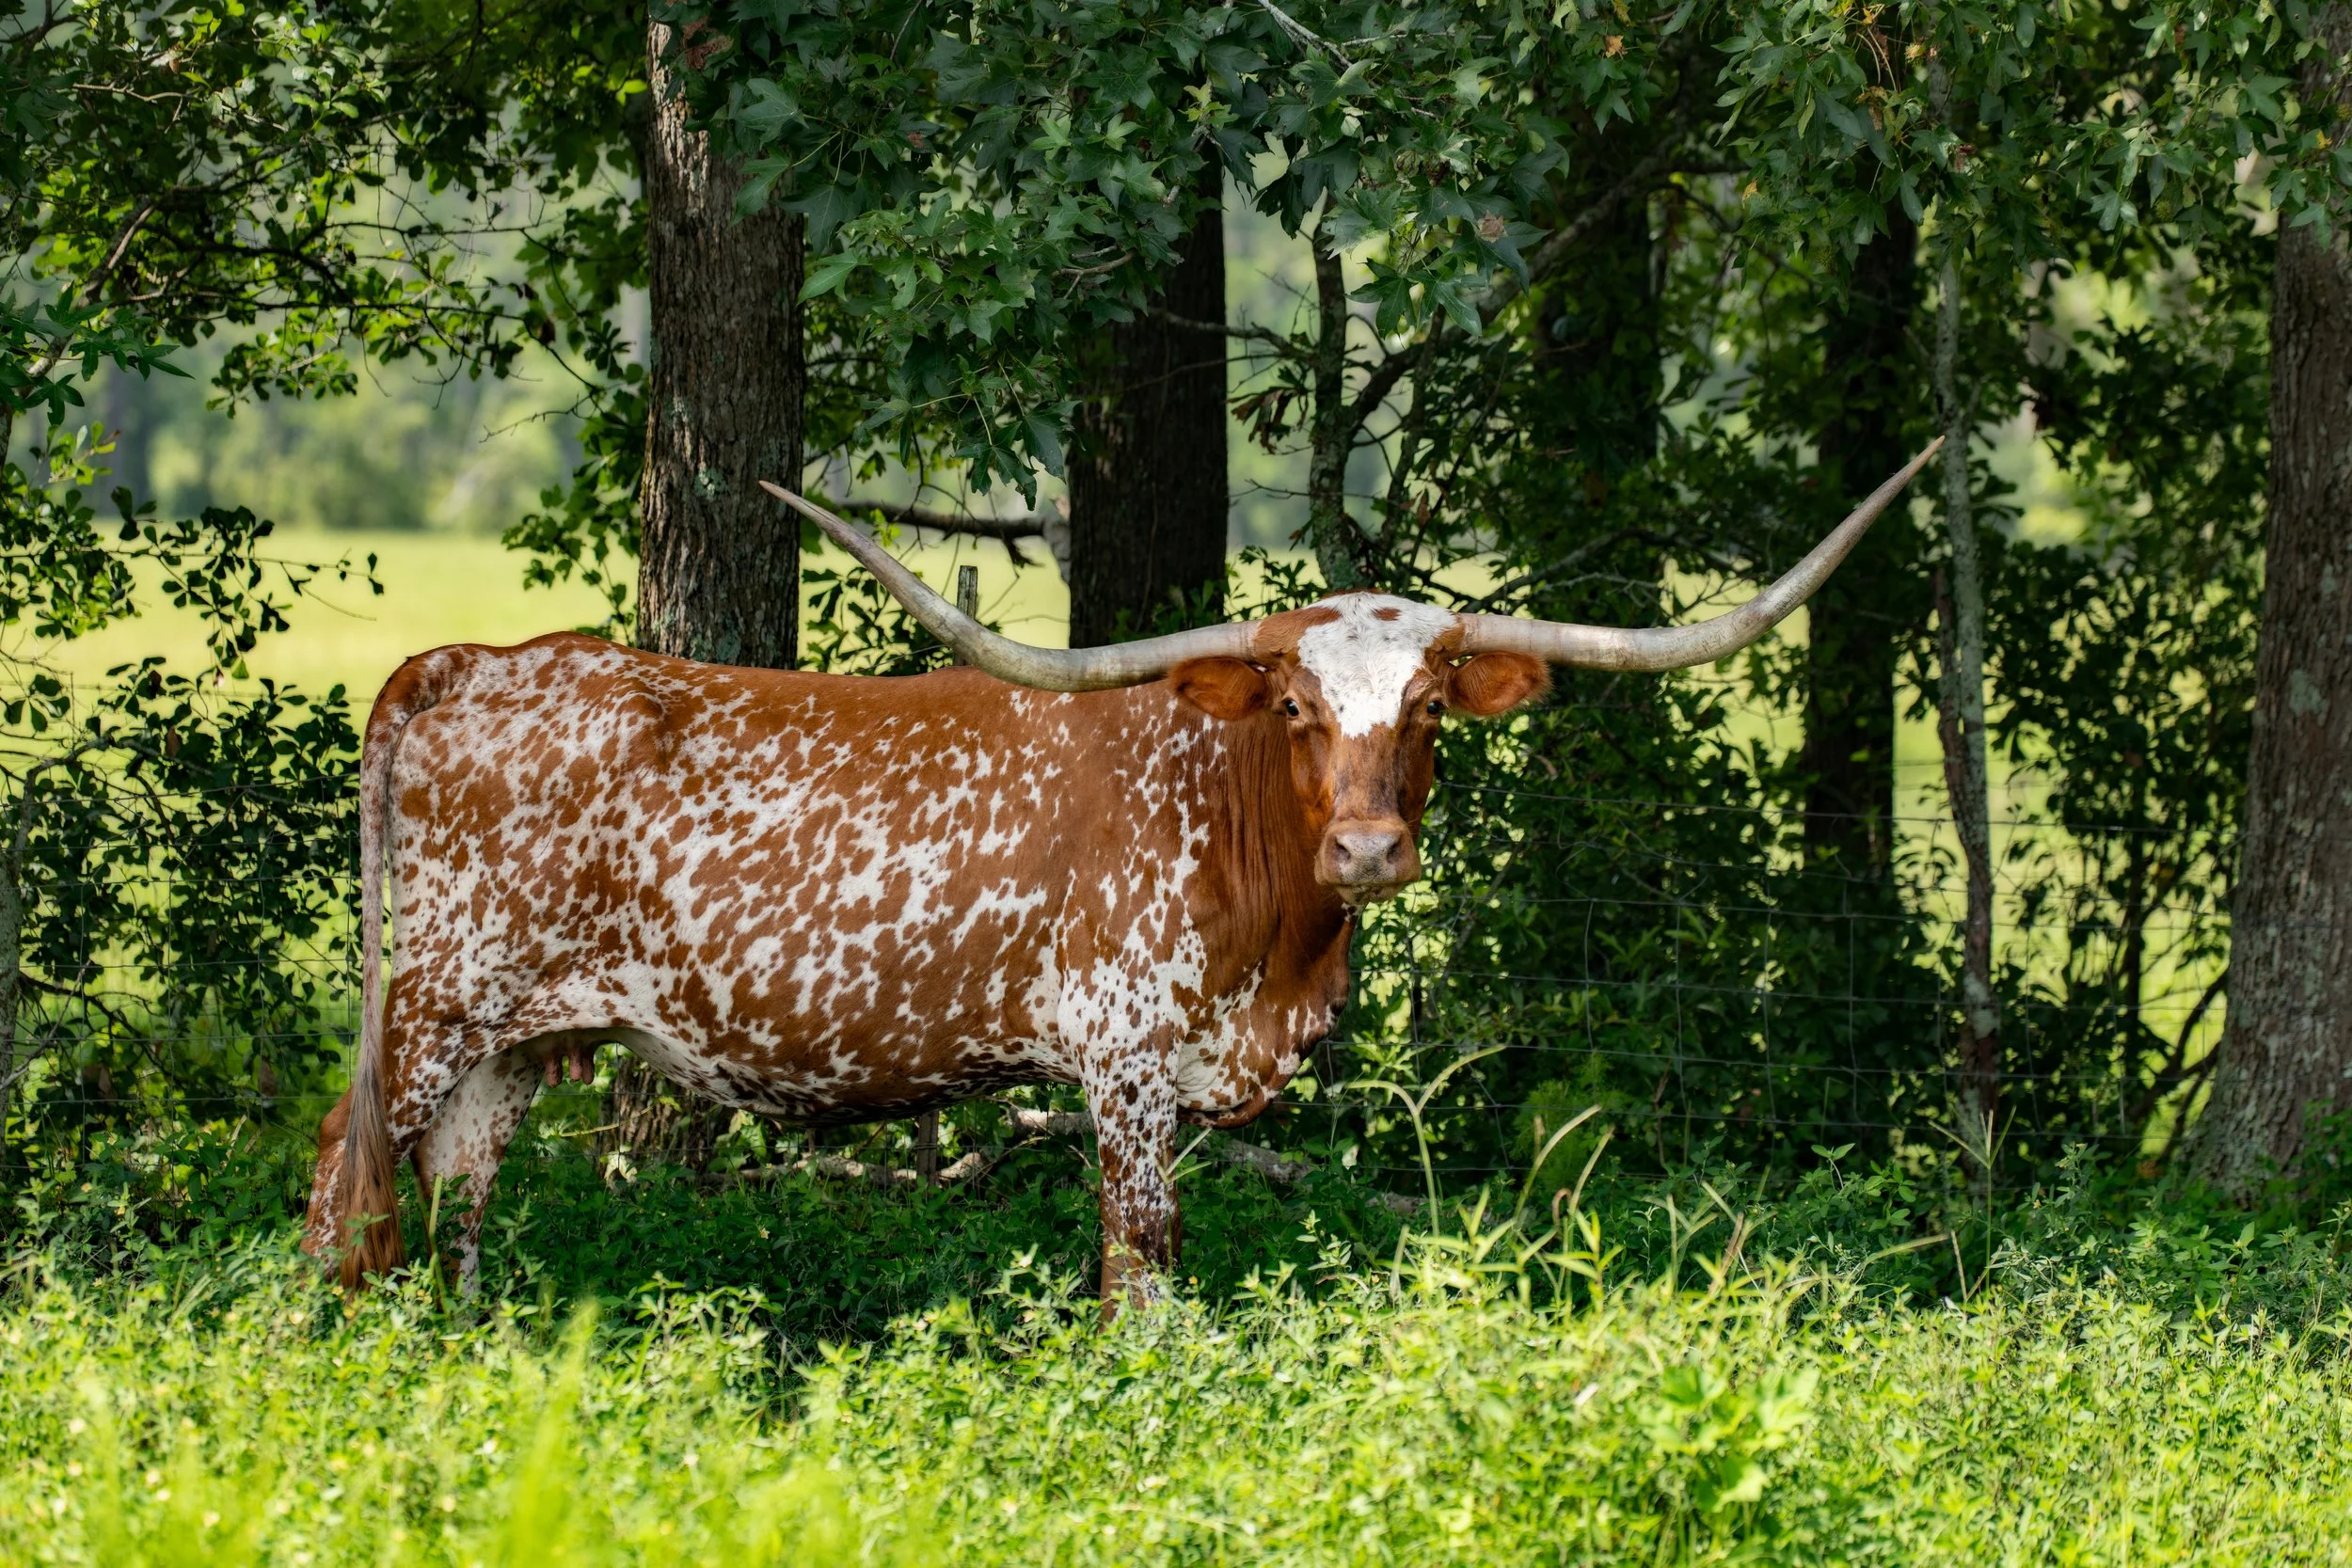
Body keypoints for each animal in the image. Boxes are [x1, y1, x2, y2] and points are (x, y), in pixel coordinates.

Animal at [304, 443, 1938, 1304]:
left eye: (1423, 707)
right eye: (1294, 704)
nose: (1369, 848)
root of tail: (463, 662)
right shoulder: (1127, 1065)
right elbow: (1143, 1264)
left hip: (521, 1040)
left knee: (456, 1194)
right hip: (432, 1007)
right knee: (341, 1183)